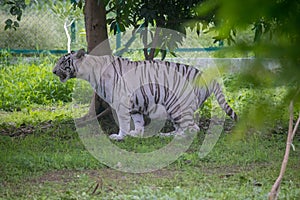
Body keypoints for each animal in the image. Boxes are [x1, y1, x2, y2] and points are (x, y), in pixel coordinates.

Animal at [53, 49, 237, 140]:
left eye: (62, 62)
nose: (53, 71)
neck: (90, 71)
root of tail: (206, 76)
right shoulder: (135, 105)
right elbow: (138, 121)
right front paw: (137, 134)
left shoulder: (121, 102)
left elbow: (124, 122)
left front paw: (120, 136)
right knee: (184, 126)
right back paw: (166, 135)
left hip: (178, 105)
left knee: (192, 128)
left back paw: (175, 138)